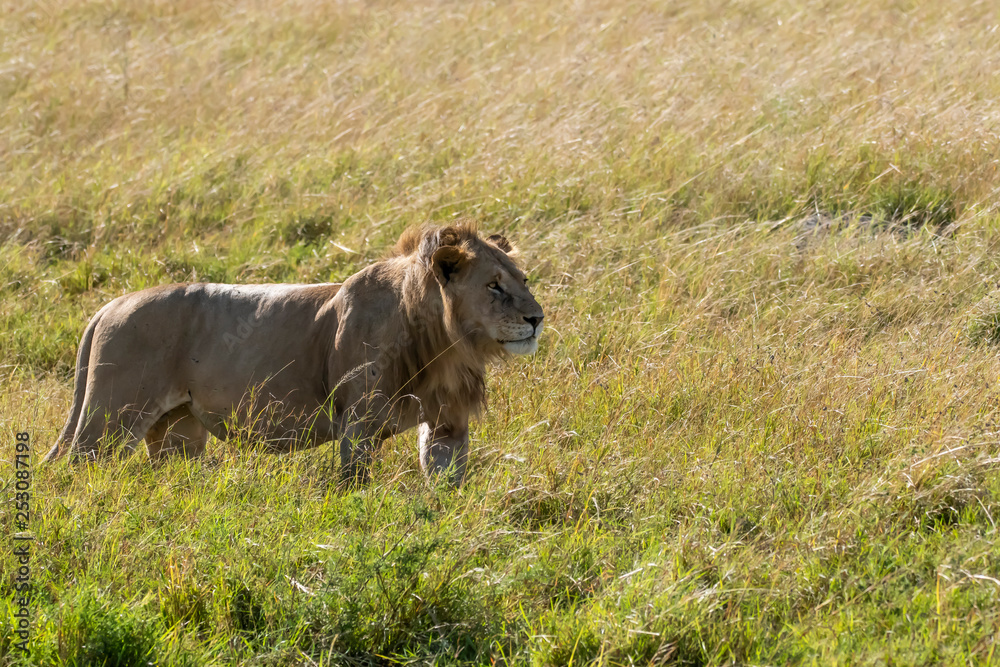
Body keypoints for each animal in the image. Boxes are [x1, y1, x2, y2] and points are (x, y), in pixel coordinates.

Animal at [43, 223, 544, 485]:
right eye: (494, 286)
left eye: (523, 279)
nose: (538, 318)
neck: (444, 343)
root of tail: (109, 305)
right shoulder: (357, 425)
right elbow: (355, 486)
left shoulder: (447, 423)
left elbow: (444, 485)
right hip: (109, 420)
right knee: (74, 471)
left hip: (178, 432)